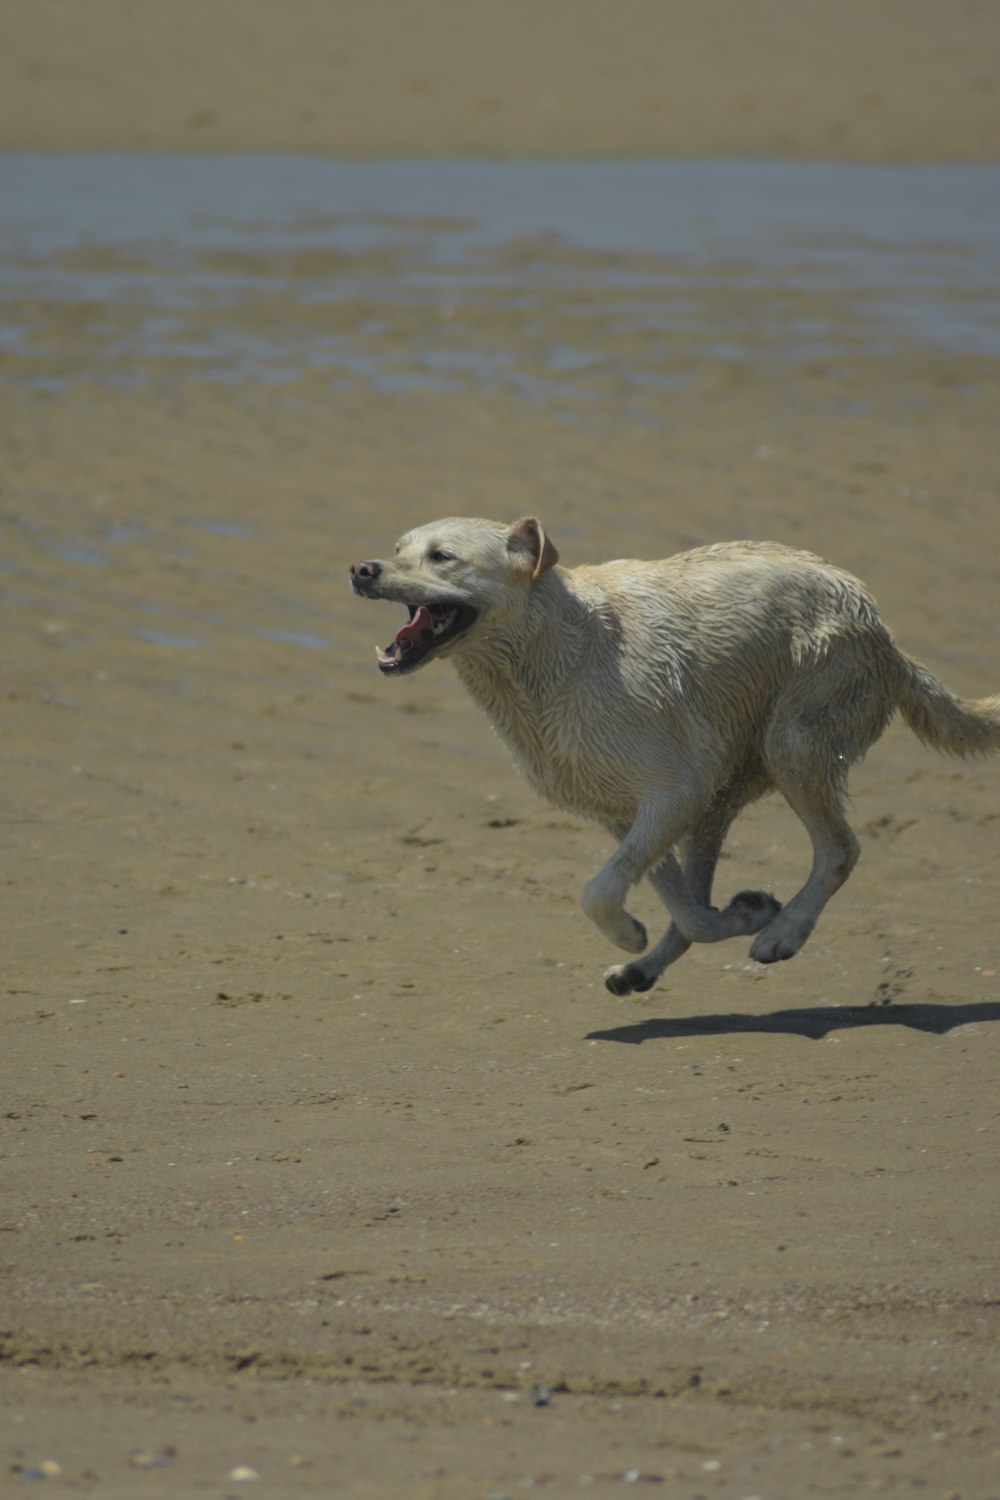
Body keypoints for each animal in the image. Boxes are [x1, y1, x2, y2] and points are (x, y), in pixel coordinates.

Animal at [350, 519, 995, 996]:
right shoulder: (626, 810)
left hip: (790, 741)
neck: (552, 653)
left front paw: (647, 932)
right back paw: (651, 967)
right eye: (398, 549)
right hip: (724, 792)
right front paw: (730, 917)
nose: (361, 569)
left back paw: (784, 933)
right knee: (700, 900)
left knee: (840, 849)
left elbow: (599, 892)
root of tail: (885, 633)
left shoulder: (676, 790)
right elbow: (682, 907)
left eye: (443, 557)